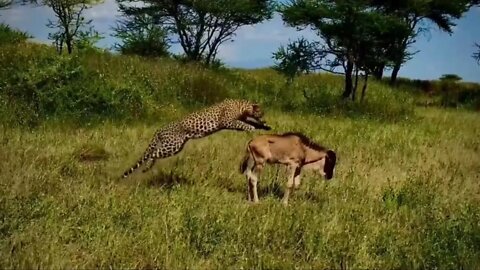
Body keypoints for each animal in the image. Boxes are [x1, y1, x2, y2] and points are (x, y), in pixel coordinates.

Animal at [121, 98, 270, 178]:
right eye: (261, 111)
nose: (263, 115)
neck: (242, 107)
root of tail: (160, 129)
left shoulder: (239, 120)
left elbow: (252, 123)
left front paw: (265, 126)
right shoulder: (228, 122)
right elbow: (244, 124)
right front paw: (252, 128)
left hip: (176, 147)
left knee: (154, 153)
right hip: (172, 145)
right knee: (153, 154)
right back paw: (147, 166)